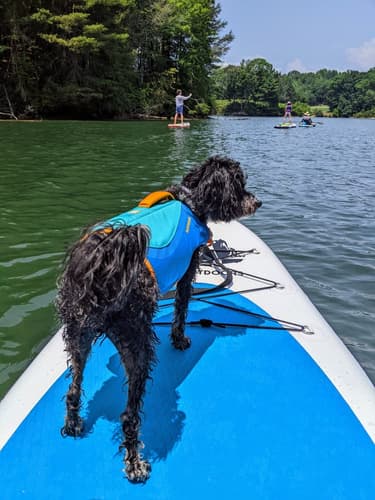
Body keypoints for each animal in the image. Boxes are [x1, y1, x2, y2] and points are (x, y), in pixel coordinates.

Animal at [56, 155, 262, 480]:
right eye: (239, 184)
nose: (257, 202)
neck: (190, 200)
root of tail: (100, 270)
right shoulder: (188, 271)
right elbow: (181, 309)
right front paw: (179, 339)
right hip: (136, 346)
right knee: (129, 416)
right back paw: (135, 464)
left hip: (78, 336)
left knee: (73, 389)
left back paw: (74, 424)